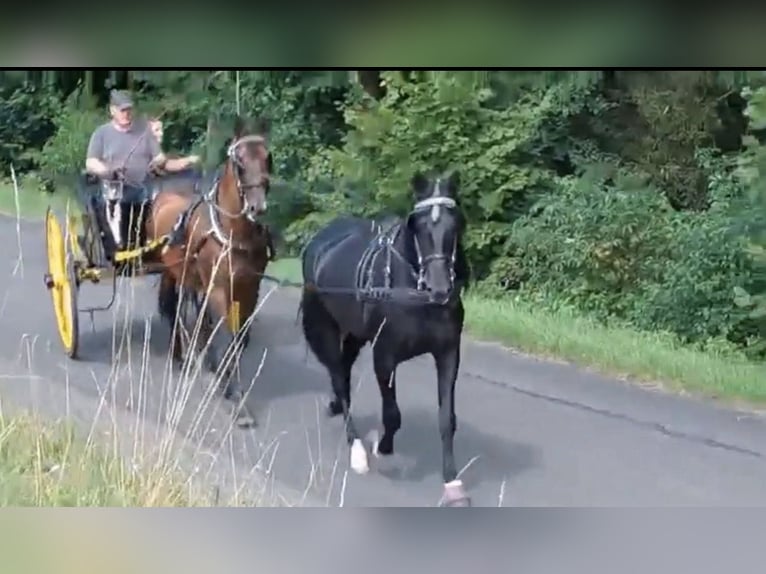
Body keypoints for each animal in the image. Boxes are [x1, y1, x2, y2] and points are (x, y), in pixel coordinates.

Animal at [145, 114, 273, 415]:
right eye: (239, 161)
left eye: (267, 157)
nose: (257, 207)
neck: (232, 233)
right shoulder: (218, 289)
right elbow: (225, 335)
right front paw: (235, 396)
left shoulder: (249, 290)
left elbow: (238, 339)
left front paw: (225, 380)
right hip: (173, 272)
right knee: (176, 309)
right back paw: (182, 356)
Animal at [299, 170, 472, 506]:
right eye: (418, 225)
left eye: (455, 222)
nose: (440, 289)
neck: (415, 295)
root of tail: (321, 240)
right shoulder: (385, 356)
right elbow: (392, 415)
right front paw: (381, 447)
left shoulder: (448, 353)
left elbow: (447, 419)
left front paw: (453, 484)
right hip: (325, 327)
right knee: (339, 377)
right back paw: (356, 449)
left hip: (354, 333)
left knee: (343, 371)